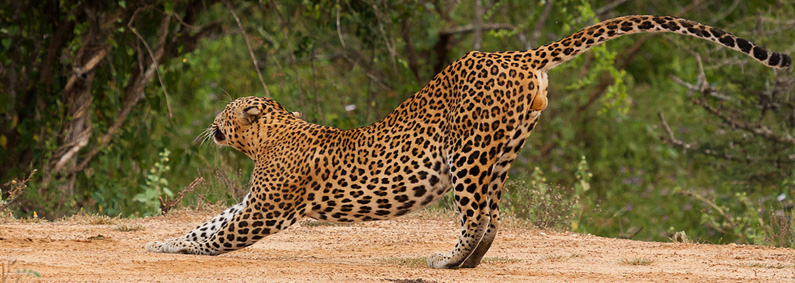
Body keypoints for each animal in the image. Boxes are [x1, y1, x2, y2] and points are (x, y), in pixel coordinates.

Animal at [148, 16, 788, 270]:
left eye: (223, 112)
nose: (210, 124)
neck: (270, 135)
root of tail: (517, 55)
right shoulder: (253, 200)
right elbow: (211, 221)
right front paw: (164, 240)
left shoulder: (266, 208)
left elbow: (219, 233)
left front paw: (171, 248)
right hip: (504, 150)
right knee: (493, 218)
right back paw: (470, 263)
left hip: (469, 154)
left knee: (474, 215)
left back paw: (447, 260)